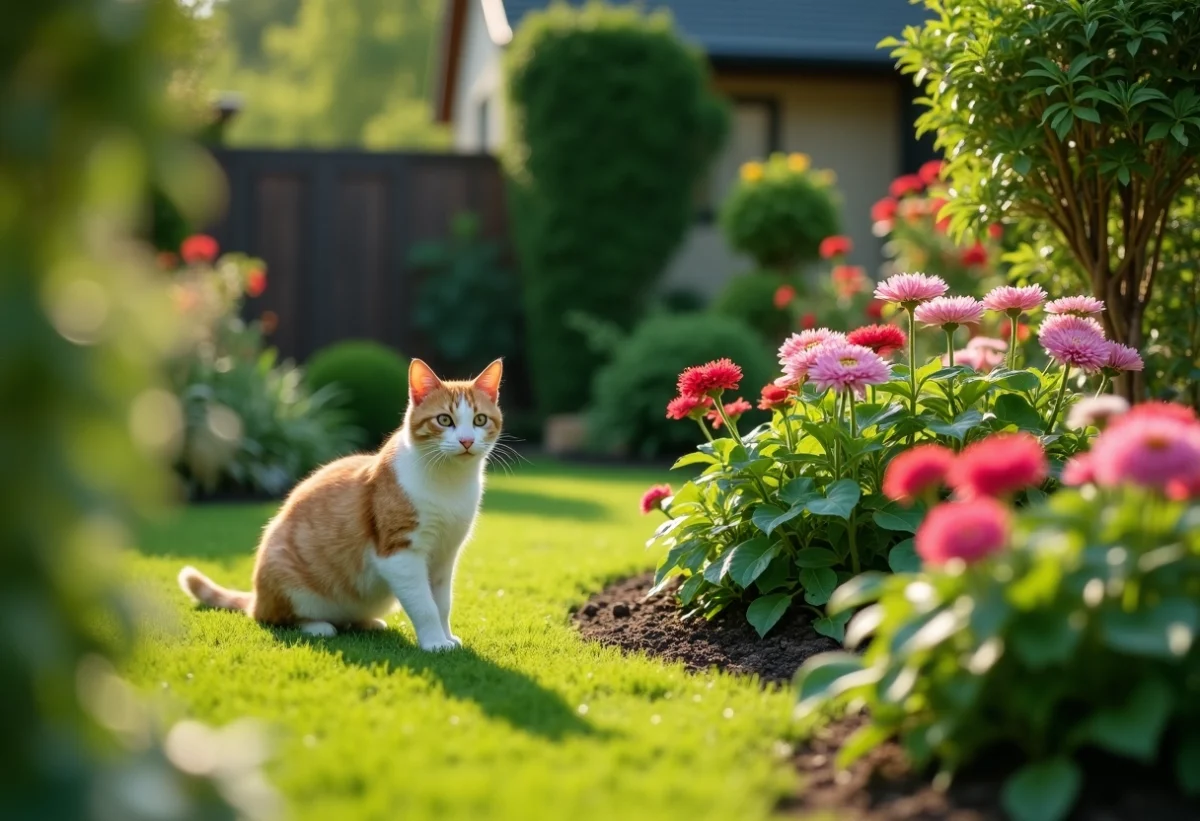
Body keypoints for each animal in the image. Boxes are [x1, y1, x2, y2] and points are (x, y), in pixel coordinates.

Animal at [177, 355, 501, 652]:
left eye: (480, 420)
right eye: (444, 420)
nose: (467, 441)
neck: (449, 483)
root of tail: (258, 597)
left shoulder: (445, 555)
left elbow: (442, 603)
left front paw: (447, 637)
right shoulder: (400, 554)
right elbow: (424, 605)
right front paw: (434, 643)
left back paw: (368, 622)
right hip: (285, 579)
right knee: (274, 618)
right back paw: (318, 626)